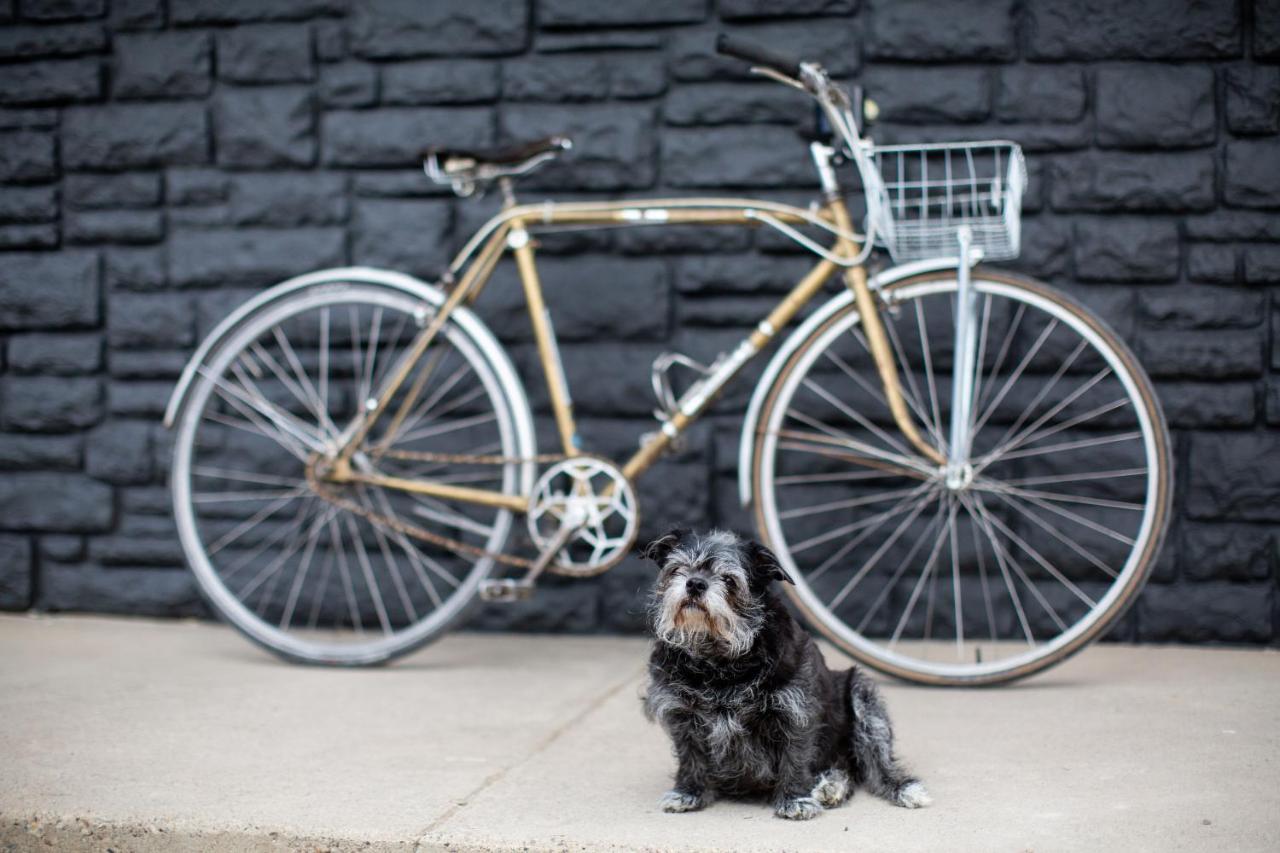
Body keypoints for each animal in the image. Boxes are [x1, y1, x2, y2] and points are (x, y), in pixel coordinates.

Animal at [640, 525, 931, 819]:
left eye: (729, 579)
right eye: (677, 568)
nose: (695, 583)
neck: (718, 660)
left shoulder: (795, 711)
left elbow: (796, 757)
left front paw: (794, 799)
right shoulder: (681, 715)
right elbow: (691, 757)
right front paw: (689, 792)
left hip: (863, 698)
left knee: (875, 764)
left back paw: (896, 787)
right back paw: (832, 786)